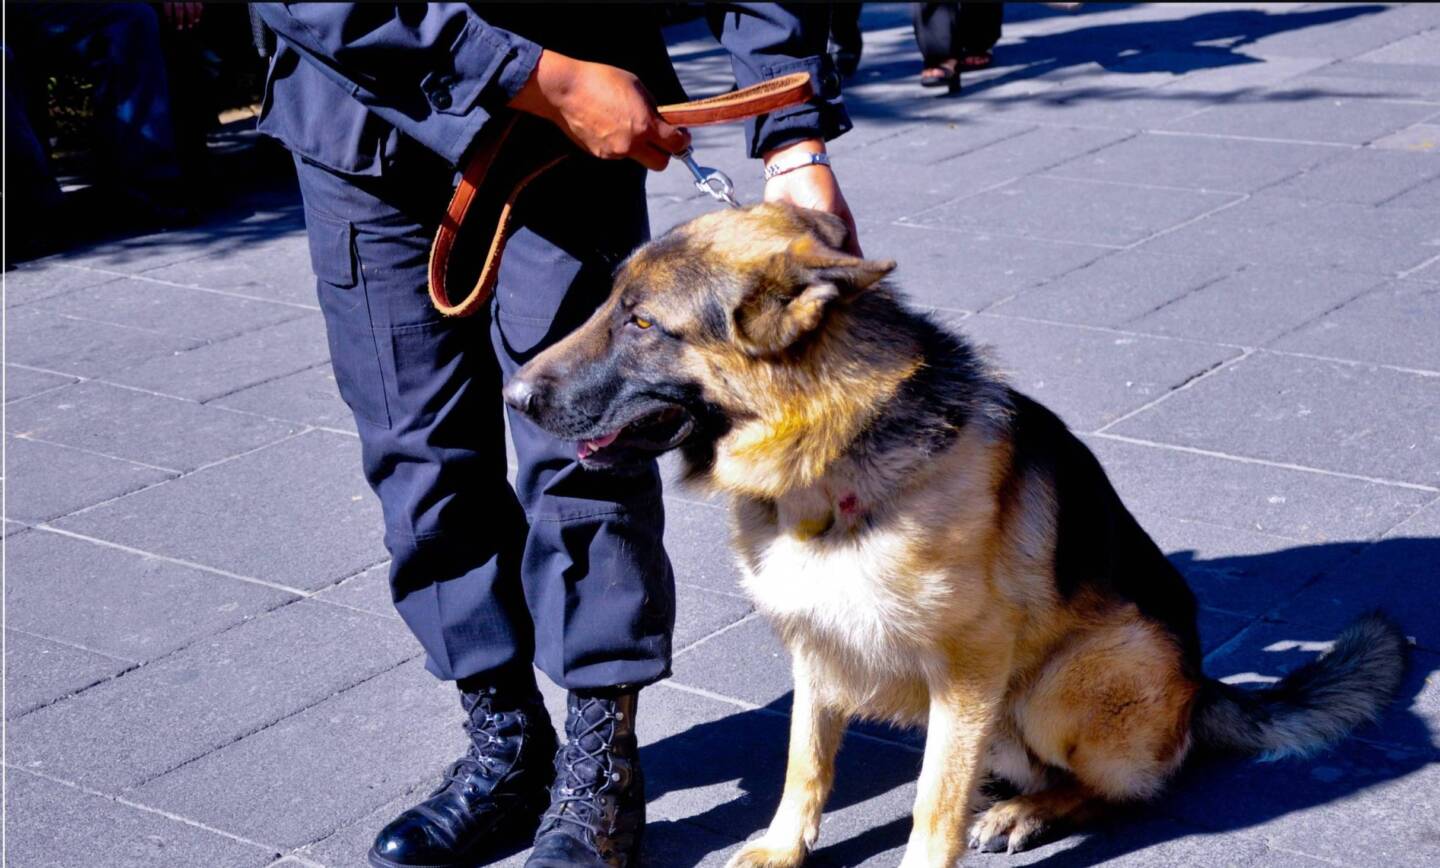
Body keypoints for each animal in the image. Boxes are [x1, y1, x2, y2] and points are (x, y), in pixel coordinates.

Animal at [504, 205, 1405, 868]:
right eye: (607, 305)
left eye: (641, 323)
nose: (512, 397)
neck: (828, 451)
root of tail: (1202, 687)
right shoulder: (817, 647)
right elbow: (805, 762)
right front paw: (785, 847)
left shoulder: (967, 674)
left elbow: (934, 802)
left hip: (1063, 680)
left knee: (1127, 787)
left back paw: (1030, 812)